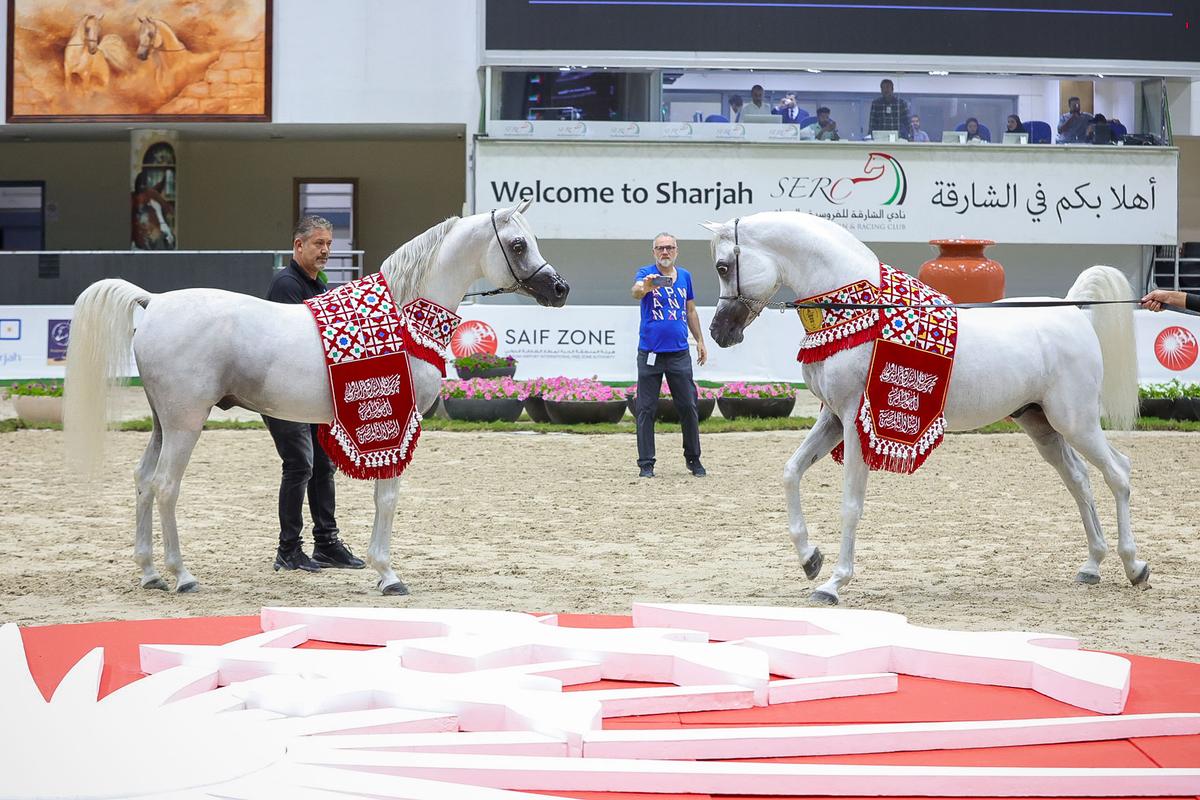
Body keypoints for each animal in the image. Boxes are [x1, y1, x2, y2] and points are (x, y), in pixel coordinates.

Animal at [64, 201, 569, 596]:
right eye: (518, 245)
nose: (559, 289)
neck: (404, 319)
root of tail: (154, 302)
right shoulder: (398, 424)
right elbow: (387, 498)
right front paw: (388, 574)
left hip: (161, 424)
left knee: (143, 481)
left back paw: (150, 573)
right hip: (185, 424)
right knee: (166, 487)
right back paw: (182, 575)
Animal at [706, 210, 1148, 605]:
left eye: (724, 266)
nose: (719, 332)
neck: (862, 312)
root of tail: (1071, 309)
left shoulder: (856, 423)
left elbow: (850, 505)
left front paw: (833, 583)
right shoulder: (832, 418)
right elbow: (790, 473)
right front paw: (810, 559)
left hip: (1076, 422)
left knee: (1118, 472)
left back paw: (1134, 567)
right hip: (1042, 426)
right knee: (1079, 480)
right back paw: (1092, 566)